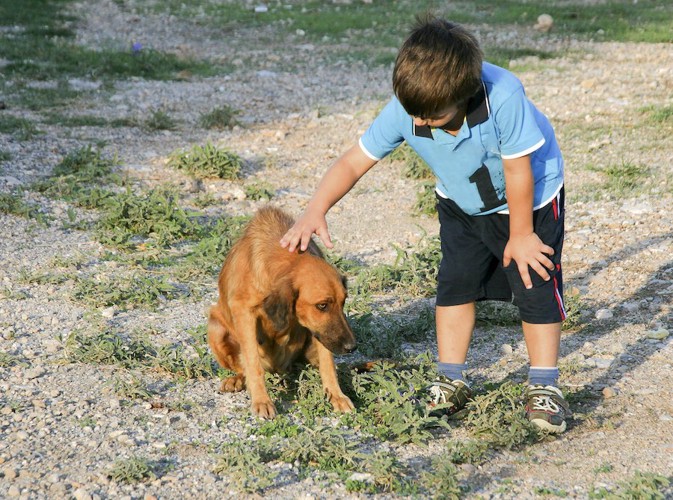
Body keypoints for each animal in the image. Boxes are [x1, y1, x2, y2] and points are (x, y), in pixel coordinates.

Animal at [207, 204, 356, 418]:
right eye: (322, 305)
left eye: (343, 302)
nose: (352, 347)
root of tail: (279, 369)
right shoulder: (244, 312)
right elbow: (253, 364)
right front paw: (262, 400)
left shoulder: (320, 333)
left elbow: (328, 363)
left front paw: (336, 395)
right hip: (215, 328)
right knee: (244, 367)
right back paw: (237, 380)